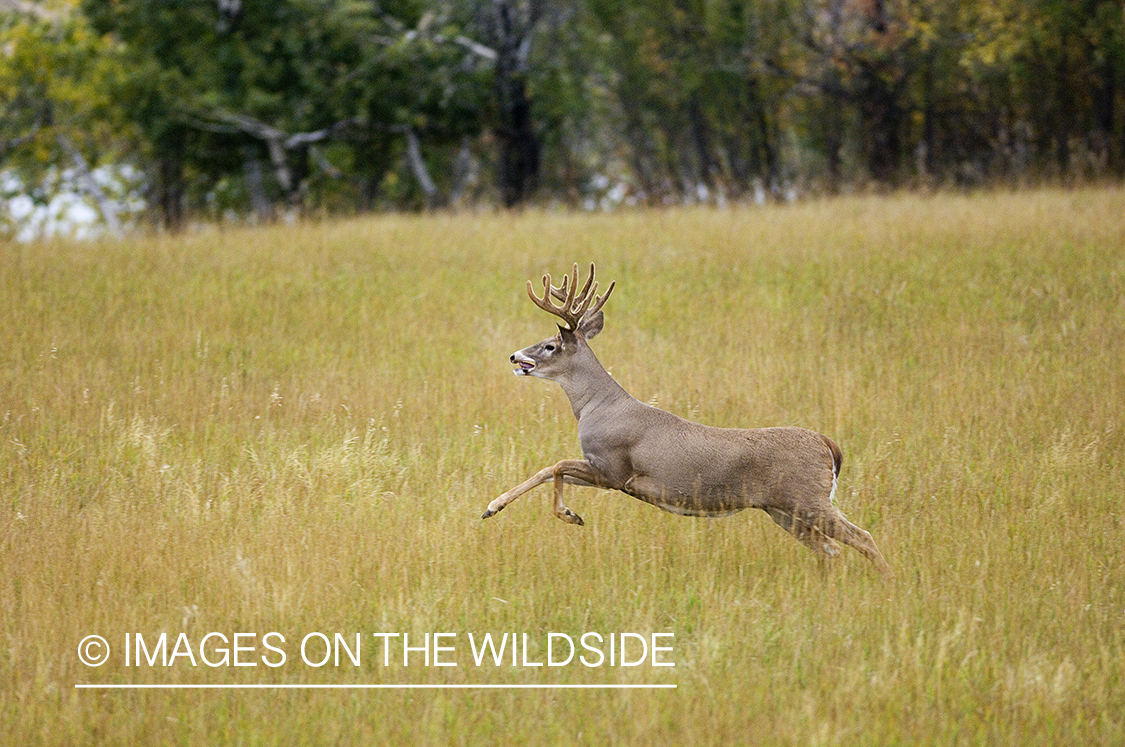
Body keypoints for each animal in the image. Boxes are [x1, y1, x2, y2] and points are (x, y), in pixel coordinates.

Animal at [482, 263, 893, 578]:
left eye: (549, 345)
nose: (514, 356)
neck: (597, 407)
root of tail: (830, 446)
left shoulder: (614, 469)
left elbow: (554, 467)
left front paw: (566, 515)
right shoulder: (605, 472)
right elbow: (548, 470)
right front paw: (496, 508)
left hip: (806, 498)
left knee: (864, 538)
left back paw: (889, 585)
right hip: (782, 509)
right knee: (830, 549)